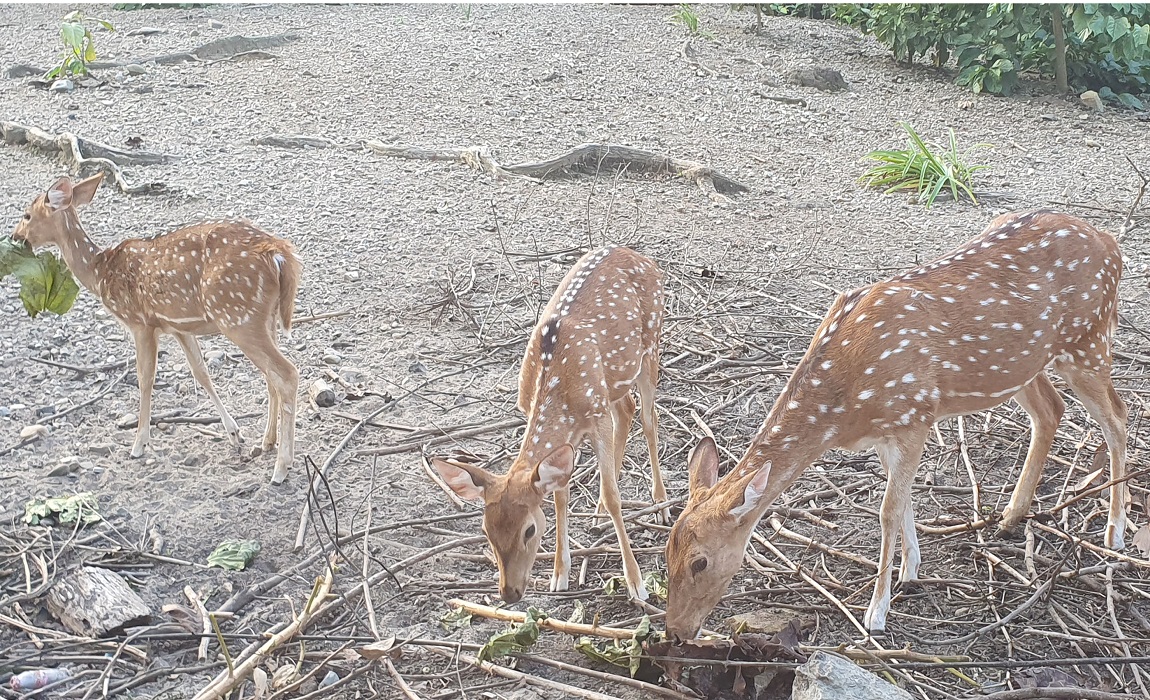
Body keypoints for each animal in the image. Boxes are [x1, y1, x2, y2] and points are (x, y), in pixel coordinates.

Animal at [13, 172, 301, 482]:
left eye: (27, 215)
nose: (16, 237)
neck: (100, 272)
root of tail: (278, 253)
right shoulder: (178, 327)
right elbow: (201, 373)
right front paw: (234, 433)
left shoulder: (140, 322)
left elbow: (145, 378)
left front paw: (139, 444)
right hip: (264, 318)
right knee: (271, 376)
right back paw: (267, 442)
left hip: (238, 316)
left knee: (287, 373)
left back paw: (282, 467)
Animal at [432, 245, 667, 602]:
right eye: (485, 530)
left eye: (529, 529)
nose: (509, 592)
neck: (556, 384)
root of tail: (639, 256)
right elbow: (559, 495)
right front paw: (560, 574)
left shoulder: (596, 415)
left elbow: (614, 496)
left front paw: (636, 583)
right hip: (614, 380)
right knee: (627, 409)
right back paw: (598, 509)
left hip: (650, 344)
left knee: (649, 417)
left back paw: (661, 502)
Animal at [662, 209, 1127, 639]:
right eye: (666, 551)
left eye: (700, 561)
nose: (675, 631)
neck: (843, 407)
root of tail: (1110, 243)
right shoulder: (888, 432)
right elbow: (901, 502)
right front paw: (911, 570)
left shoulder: (913, 415)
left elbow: (887, 510)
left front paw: (877, 613)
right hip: (1022, 365)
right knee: (1051, 409)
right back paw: (1013, 515)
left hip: (1089, 341)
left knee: (1117, 418)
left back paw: (1115, 534)